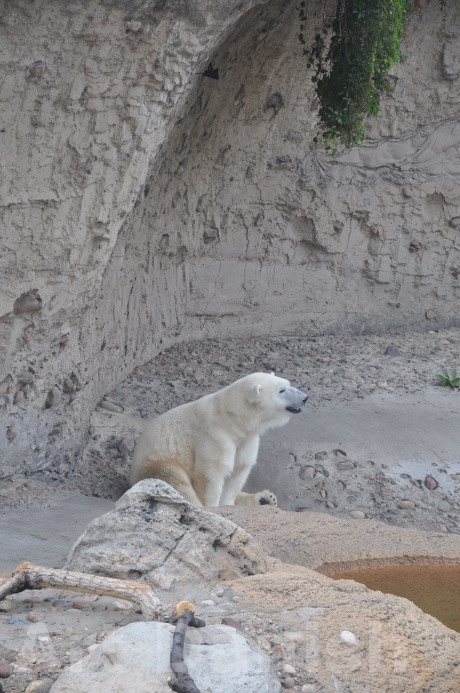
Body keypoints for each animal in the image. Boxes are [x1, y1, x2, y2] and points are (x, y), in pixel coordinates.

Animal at [129, 374, 308, 508]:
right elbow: (211, 473)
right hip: (157, 461)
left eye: (288, 383)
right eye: (281, 390)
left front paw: (228, 503)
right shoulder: (213, 435)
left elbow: (238, 471)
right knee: (173, 480)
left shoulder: (246, 439)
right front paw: (213, 506)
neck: (231, 420)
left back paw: (266, 498)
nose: (305, 397)